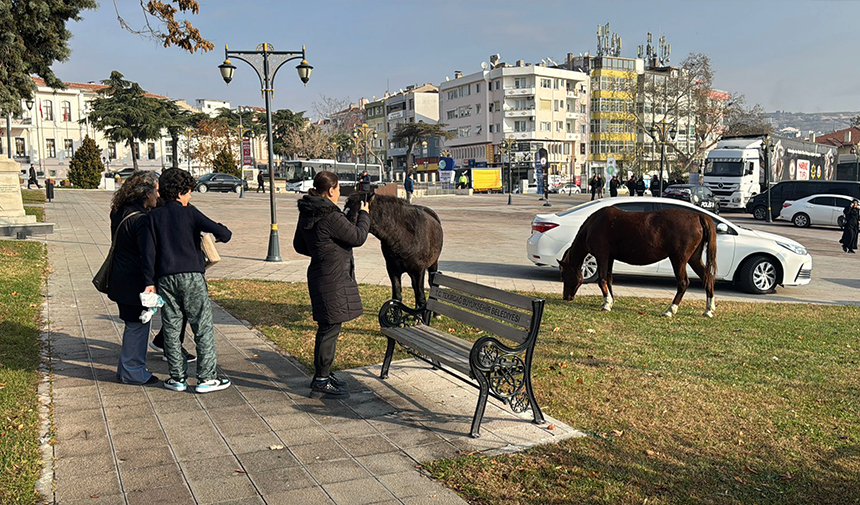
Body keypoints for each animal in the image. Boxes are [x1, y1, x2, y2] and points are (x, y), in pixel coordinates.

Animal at [556, 205, 720, 316]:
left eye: (563, 275)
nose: (566, 297)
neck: (594, 224)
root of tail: (697, 216)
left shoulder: (602, 255)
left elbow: (602, 280)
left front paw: (606, 304)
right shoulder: (610, 257)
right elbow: (609, 279)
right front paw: (610, 301)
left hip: (679, 259)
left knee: (683, 283)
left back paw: (670, 310)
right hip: (694, 258)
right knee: (708, 278)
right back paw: (708, 309)